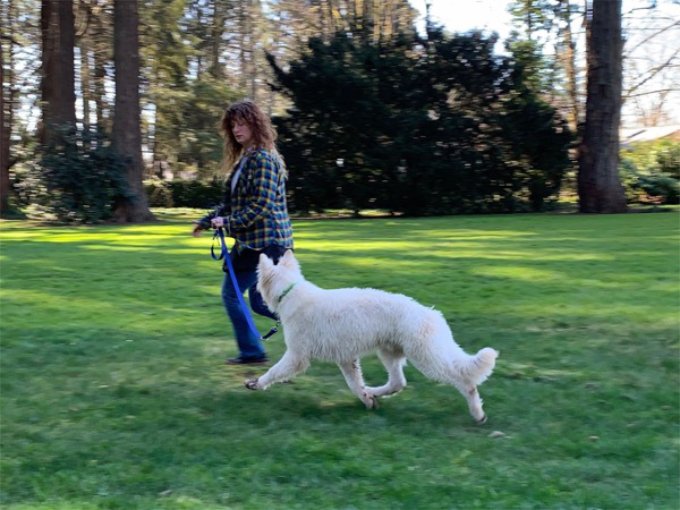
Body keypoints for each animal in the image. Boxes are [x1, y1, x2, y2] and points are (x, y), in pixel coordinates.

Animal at [247, 250, 496, 422]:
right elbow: (354, 384)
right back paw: (374, 392)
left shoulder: (296, 356)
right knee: (398, 382)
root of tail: (432, 315)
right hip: (389, 352)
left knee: (464, 381)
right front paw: (367, 400)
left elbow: (274, 371)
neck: (290, 292)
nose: (253, 294)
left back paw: (478, 413)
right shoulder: (346, 359)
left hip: (426, 358)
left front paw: (256, 383)